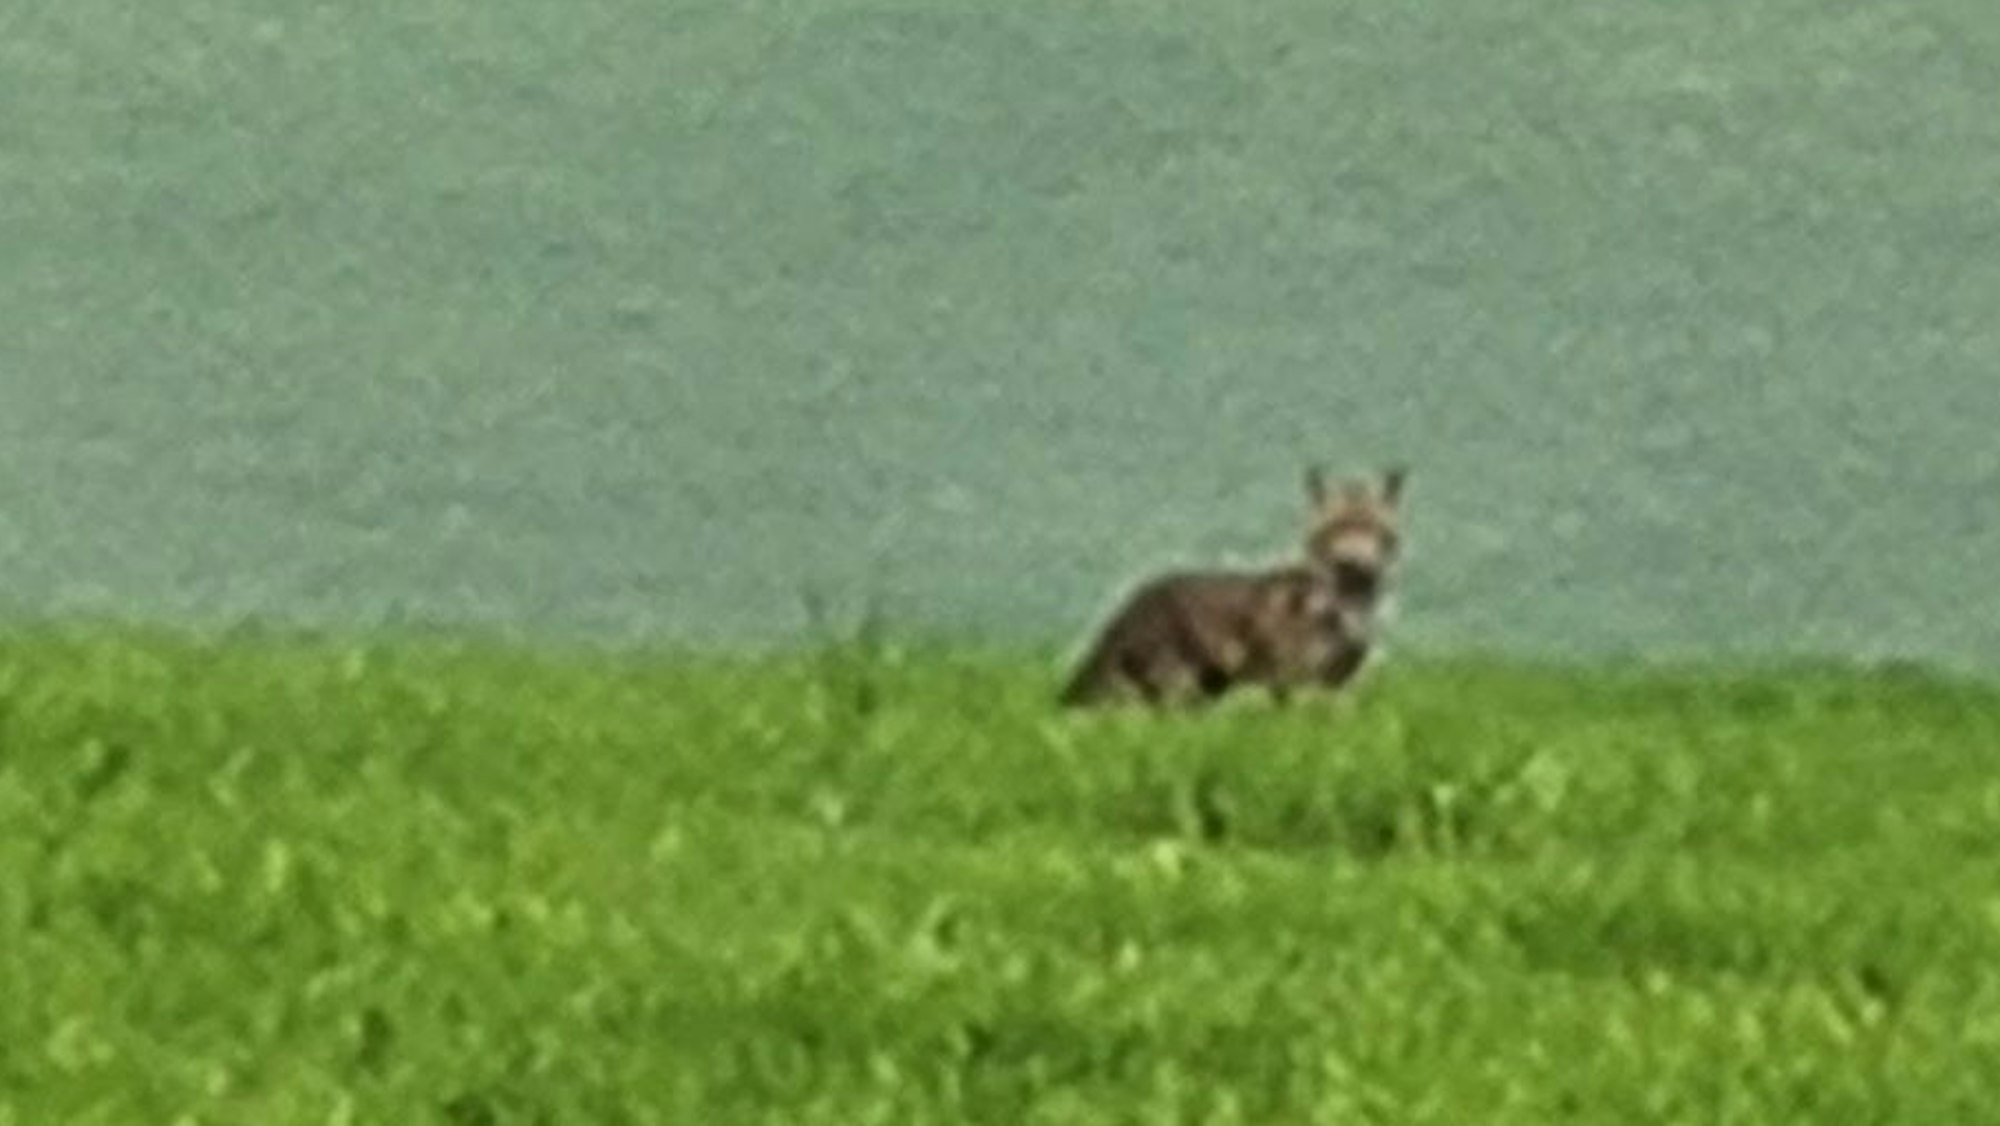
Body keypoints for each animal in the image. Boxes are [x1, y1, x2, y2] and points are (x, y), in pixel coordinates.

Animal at [1059, 466, 1406, 709]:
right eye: (1336, 528)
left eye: (1375, 528)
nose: (1352, 563)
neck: (1348, 603)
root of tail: (1131, 601)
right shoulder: (1292, 682)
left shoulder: (1340, 685)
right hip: (1176, 683)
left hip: (1206, 687)